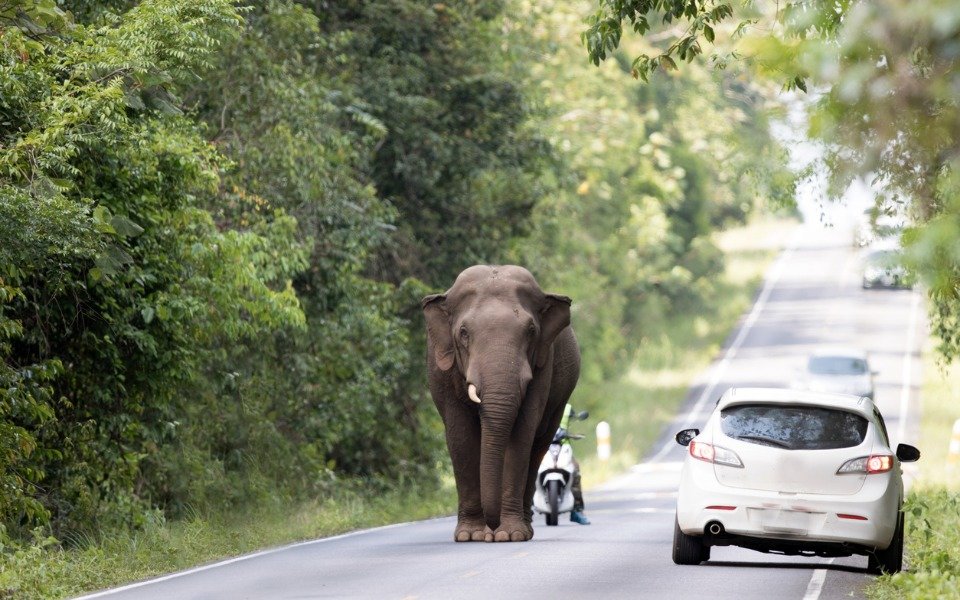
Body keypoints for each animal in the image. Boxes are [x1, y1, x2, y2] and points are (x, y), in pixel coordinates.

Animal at [422, 265, 580, 542]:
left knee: (537, 447)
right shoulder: (440, 369)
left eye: (531, 331)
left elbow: (521, 435)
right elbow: (461, 436)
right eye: (464, 333)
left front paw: (510, 535)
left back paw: (523, 530)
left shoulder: (544, 364)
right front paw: (469, 536)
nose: (492, 528)